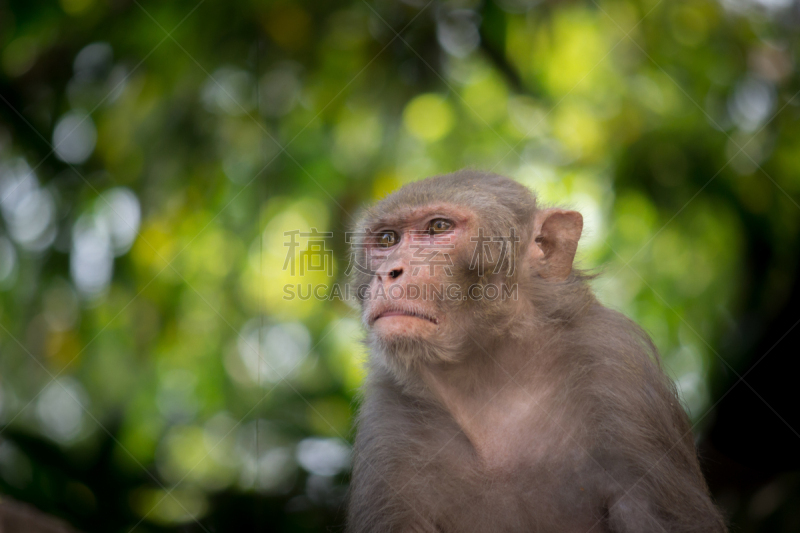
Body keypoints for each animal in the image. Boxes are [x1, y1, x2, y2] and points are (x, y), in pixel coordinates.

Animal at [346, 170, 728, 532]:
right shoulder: (388, 419)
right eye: (387, 240)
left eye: (439, 227)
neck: (492, 381)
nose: (388, 272)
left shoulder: (621, 374)